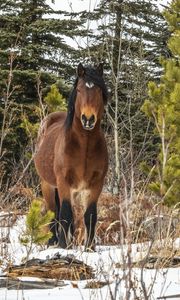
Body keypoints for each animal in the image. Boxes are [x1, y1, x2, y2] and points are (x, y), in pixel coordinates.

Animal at [34, 63, 108, 251]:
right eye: (80, 89)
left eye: (98, 90)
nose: (88, 119)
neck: (84, 147)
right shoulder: (63, 182)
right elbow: (65, 213)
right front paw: (62, 245)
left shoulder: (96, 184)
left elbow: (90, 215)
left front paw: (90, 248)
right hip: (48, 185)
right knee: (54, 212)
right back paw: (54, 242)